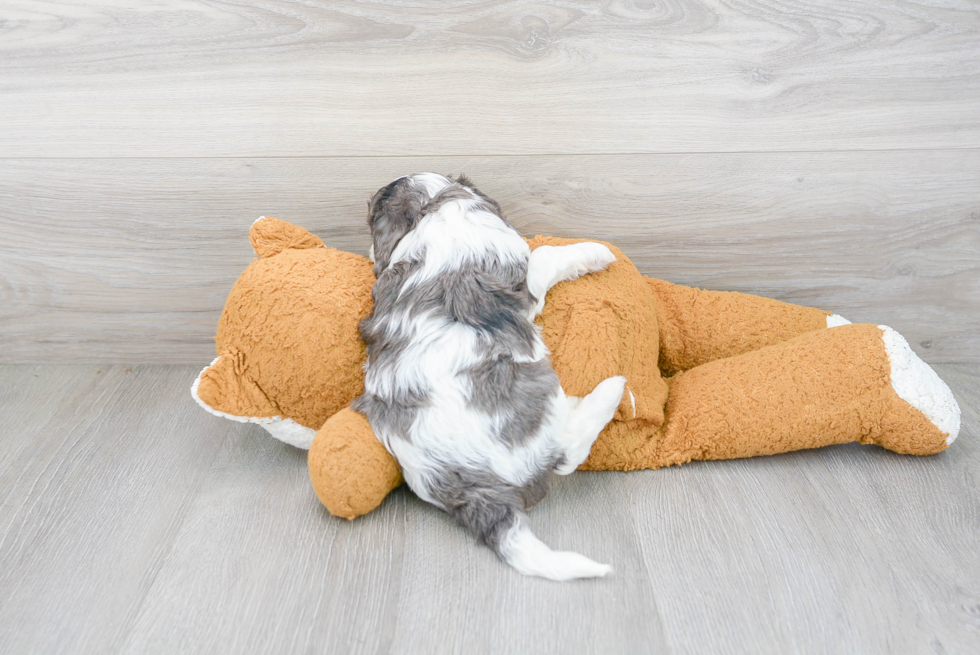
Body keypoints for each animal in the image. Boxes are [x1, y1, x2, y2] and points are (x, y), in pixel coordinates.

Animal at [356, 173, 624, 580]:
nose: (371, 254)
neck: (436, 205)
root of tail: (472, 485)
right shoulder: (526, 284)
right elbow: (543, 256)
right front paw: (595, 252)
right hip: (538, 398)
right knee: (567, 454)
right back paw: (608, 393)